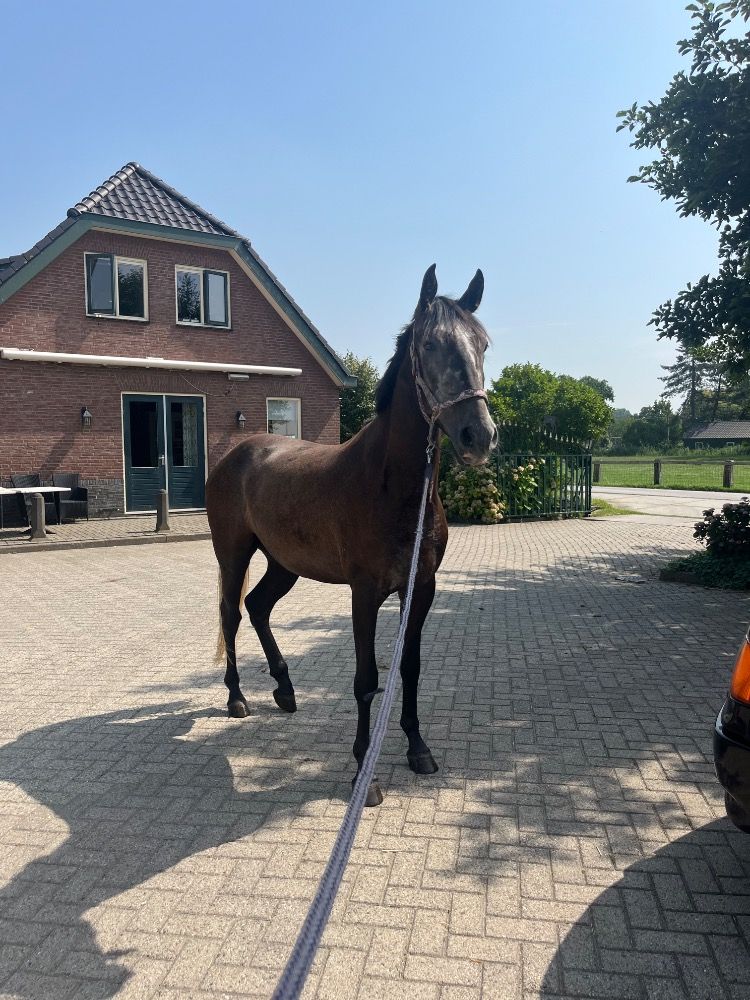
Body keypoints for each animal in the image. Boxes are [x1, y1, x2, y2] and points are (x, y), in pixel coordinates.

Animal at [206, 265, 497, 805]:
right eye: (429, 344)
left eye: (482, 344)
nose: (479, 435)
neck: (391, 487)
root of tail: (236, 453)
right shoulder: (364, 592)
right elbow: (367, 679)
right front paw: (367, 769)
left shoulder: (419, 588)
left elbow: (409, 667)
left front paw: (418, 748)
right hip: (234, 554)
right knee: (231, 614)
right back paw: (237, 698)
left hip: (284, 563)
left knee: (258, 606)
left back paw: (285, 690)